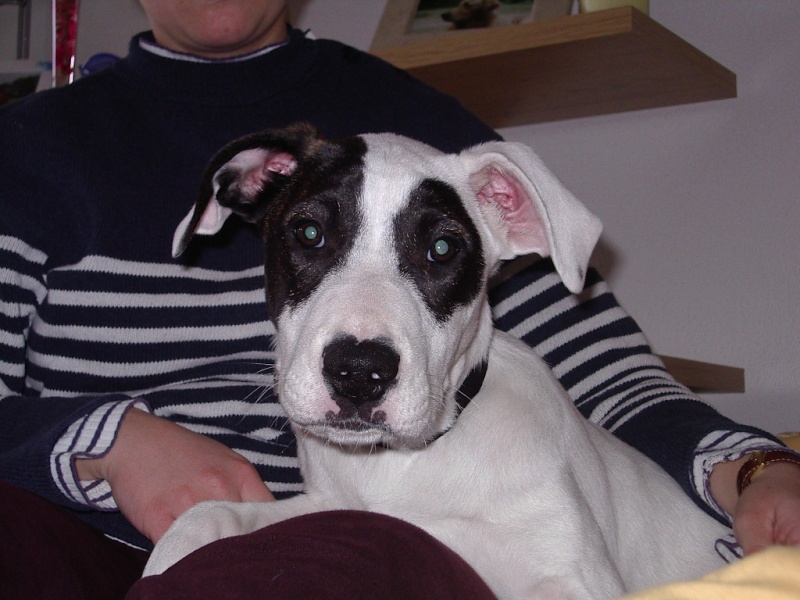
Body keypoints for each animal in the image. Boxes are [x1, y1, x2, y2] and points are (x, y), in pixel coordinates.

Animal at [147, 124, 736, 596]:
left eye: (443, 250)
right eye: (309, 233)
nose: (358, 373)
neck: (402, 465)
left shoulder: (572, 576)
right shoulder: (326, 505)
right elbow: (209, 513)